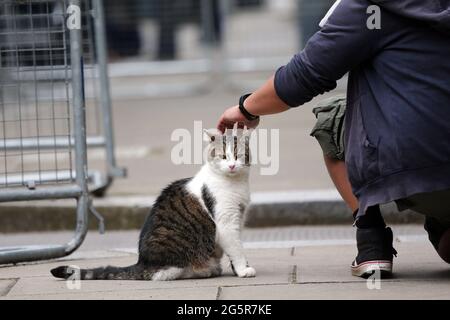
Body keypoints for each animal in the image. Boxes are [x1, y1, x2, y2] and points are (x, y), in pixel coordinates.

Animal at [51, 127, 255, 280]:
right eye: (223, 157)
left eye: (238, 155)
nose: (232, 165)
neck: (235, 183)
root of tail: (141, 262)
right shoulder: (226, 222)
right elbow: (236, 249)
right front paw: (243, 269)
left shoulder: (239, 218)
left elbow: (236, 247)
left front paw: (239, 268)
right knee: (162, 274)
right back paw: (203, 270)